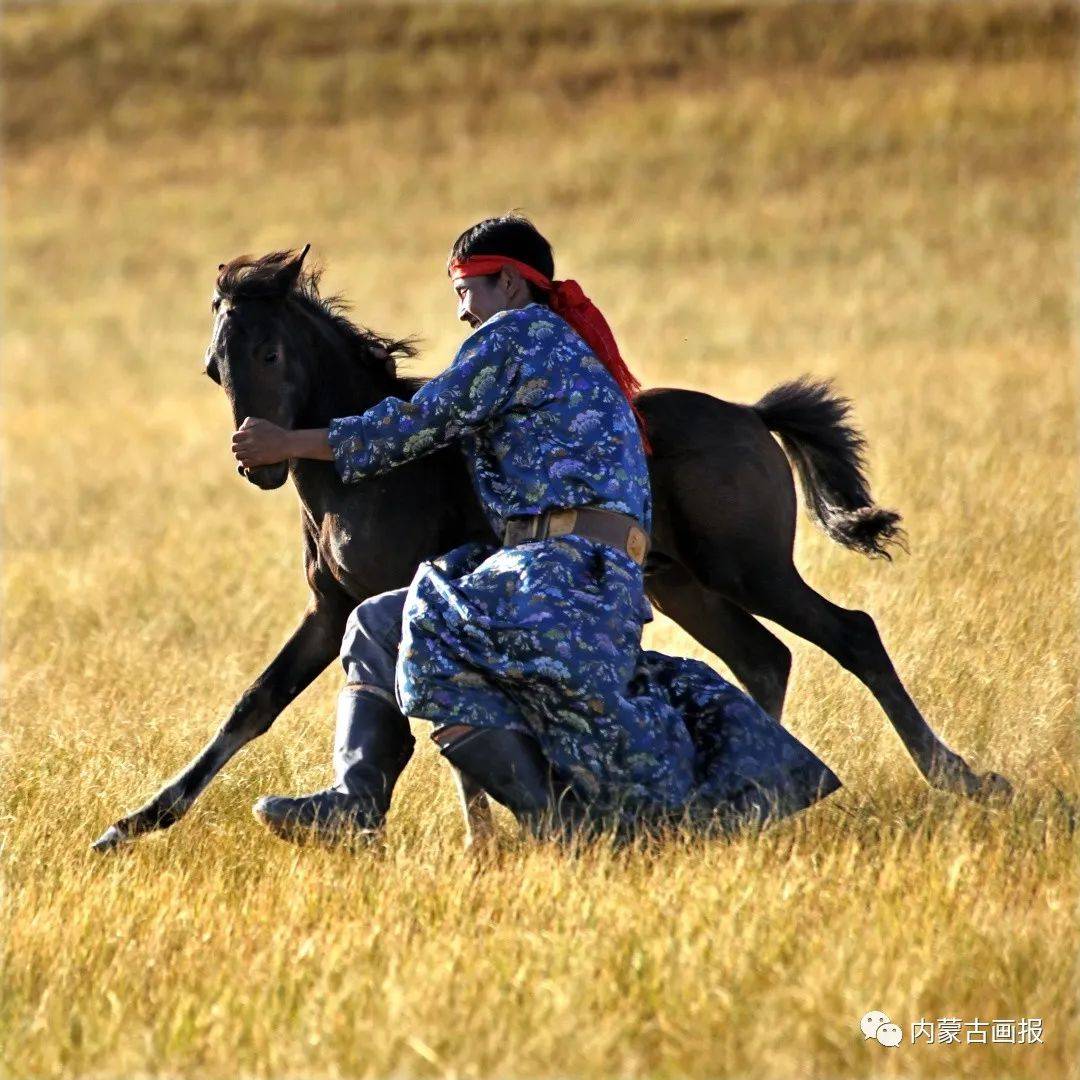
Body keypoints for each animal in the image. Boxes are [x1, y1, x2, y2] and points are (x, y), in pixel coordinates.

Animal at [88, 248, 1006, 846]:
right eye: (214, 366)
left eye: (271, 349)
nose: (258, 461)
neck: (366, 477)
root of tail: (750, 415)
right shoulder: (329, 609)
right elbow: (255, 704)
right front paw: (136, 823)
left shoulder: (391, 591)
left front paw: (481, 848)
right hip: (684, 585)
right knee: (763, 657)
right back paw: (735, 798)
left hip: (749, 569)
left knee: (851, 634)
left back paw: (960, 776)